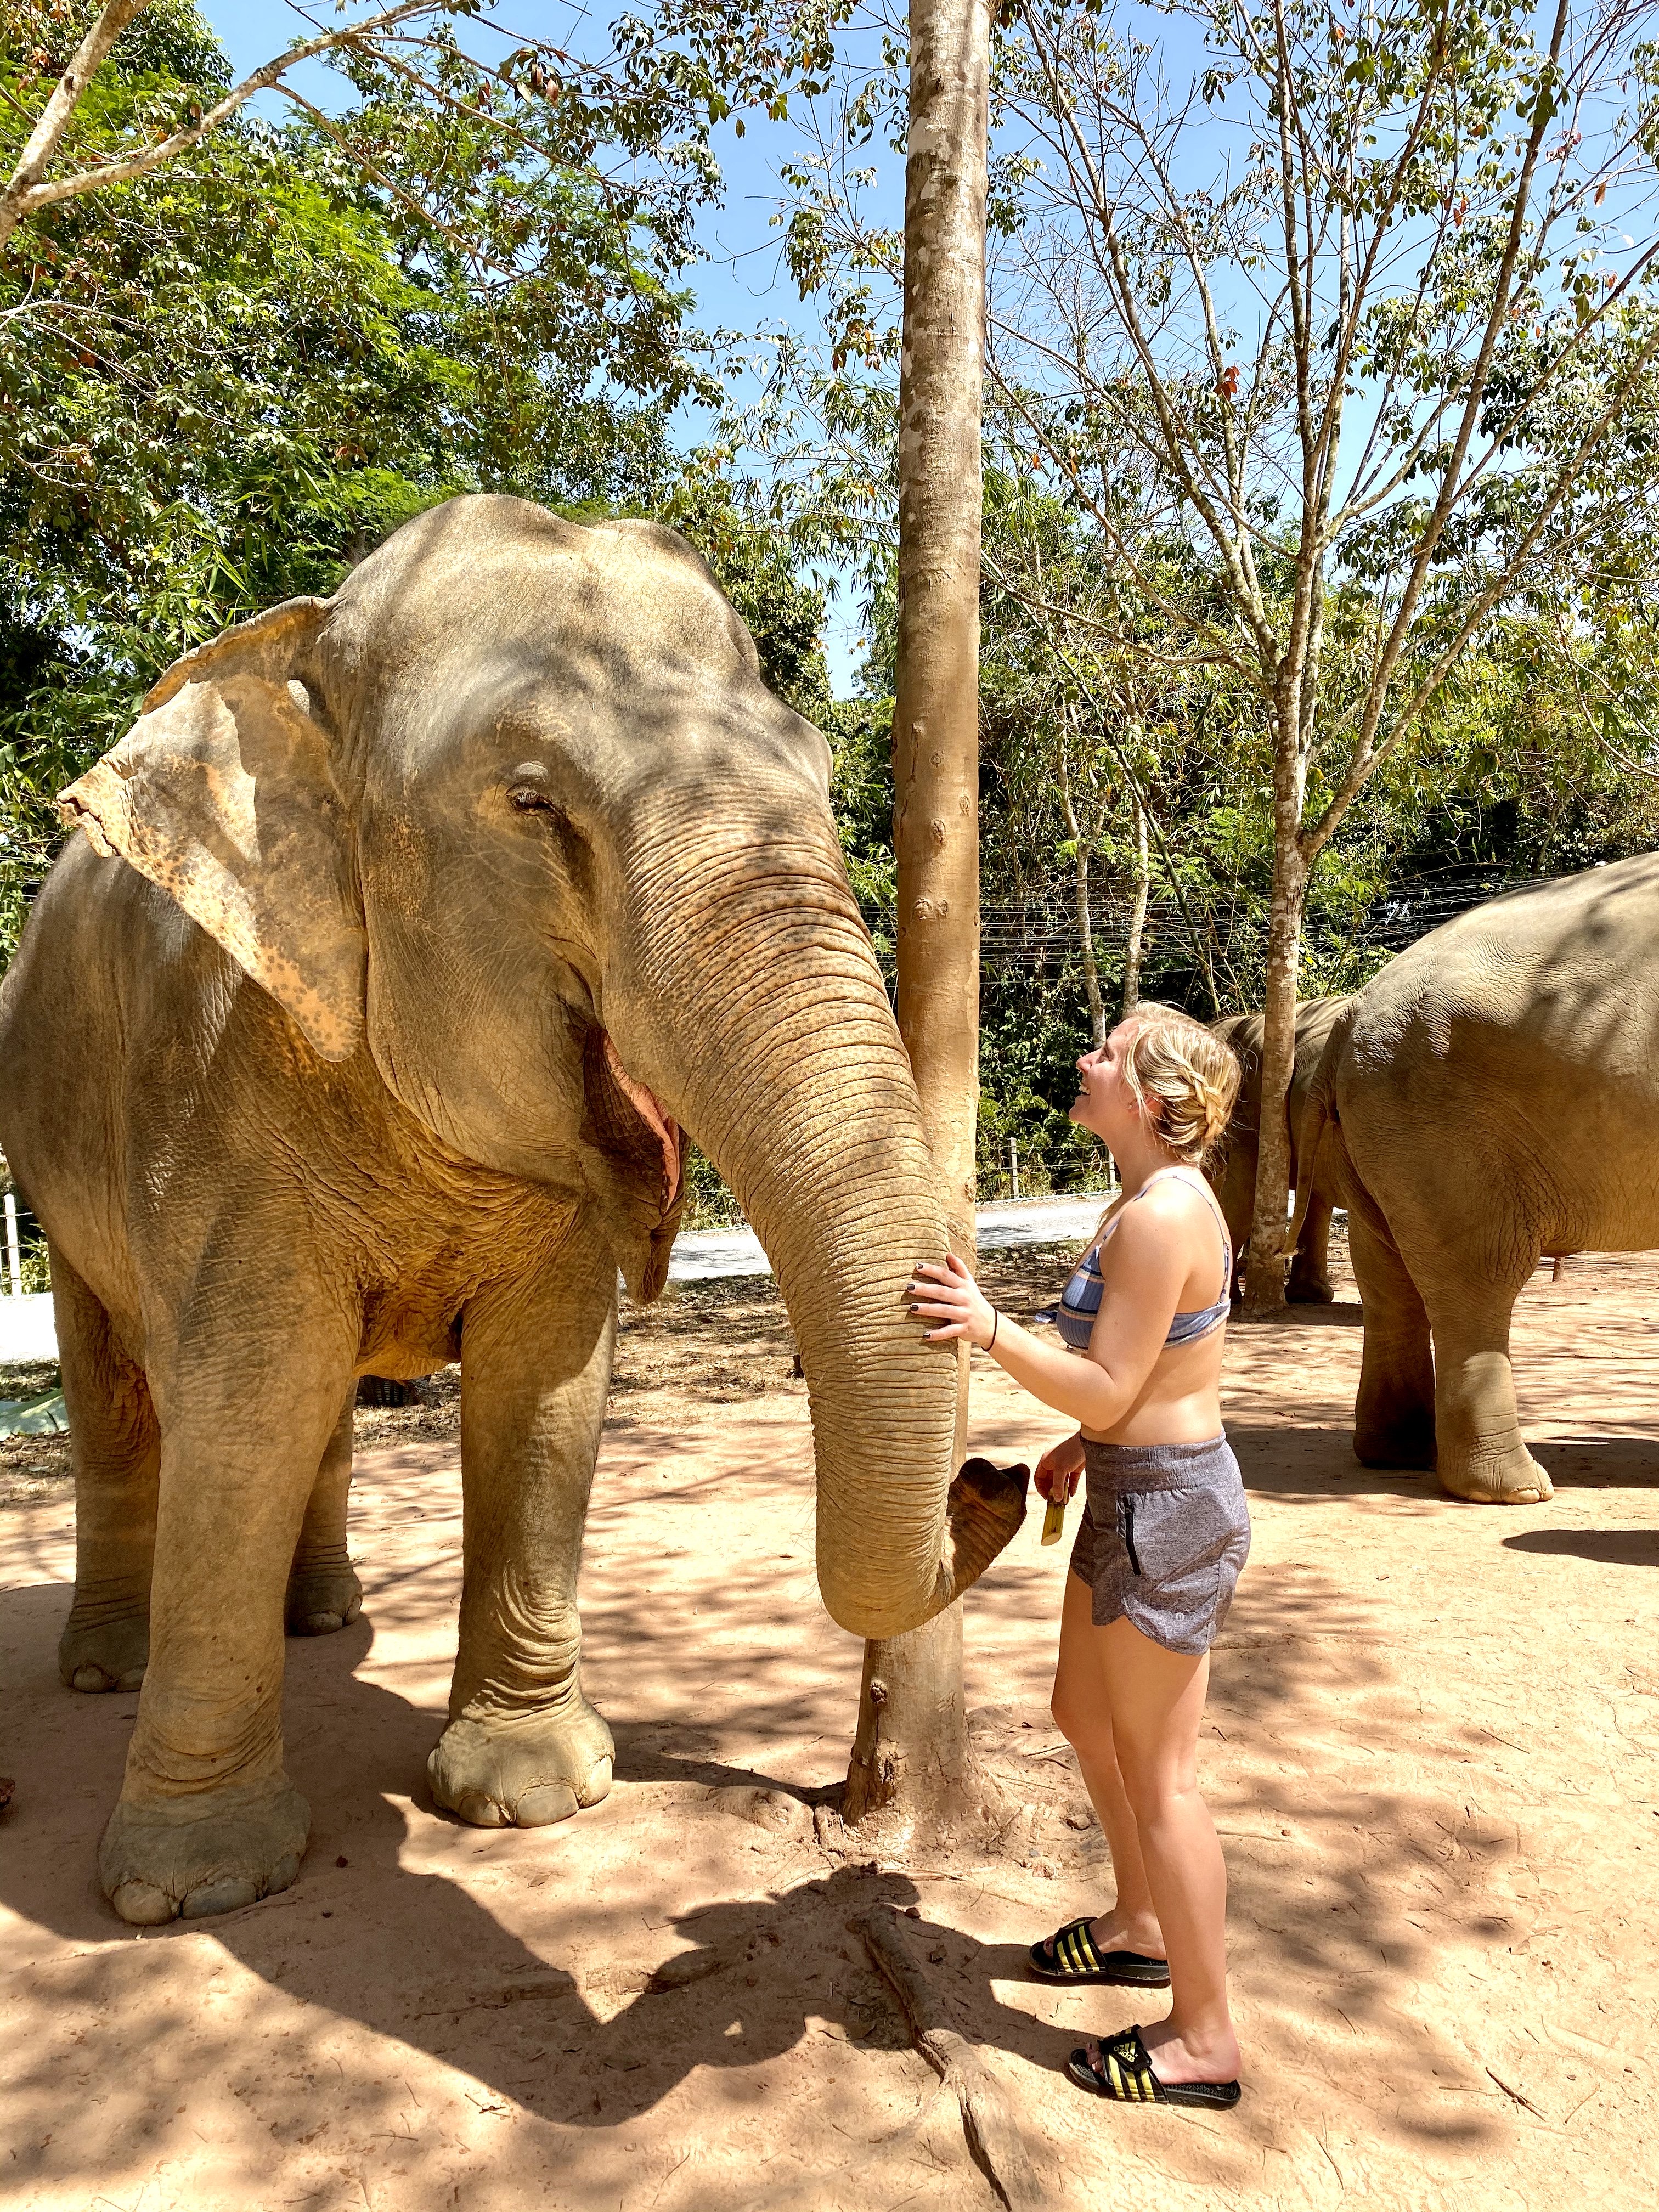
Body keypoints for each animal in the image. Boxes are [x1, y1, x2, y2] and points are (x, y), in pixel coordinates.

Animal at [0, 494, 1023, 1926]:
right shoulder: (204, 1077)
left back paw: (323, 1621)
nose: (1000, 1478)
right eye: (535, 806)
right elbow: (248, 1399)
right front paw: (193, 1890)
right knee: (118, 1391)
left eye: (825, 772)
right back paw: (108, 1665)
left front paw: (531, 1796)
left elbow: (543, 1392)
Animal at [1288, 853, 1659, 1502]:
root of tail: (1352, 1012)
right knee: (1478, 1278)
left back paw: (1399, 1456)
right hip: (1445, 1126)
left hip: (1382, 1126)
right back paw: (1515, 1489)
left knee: (1388, 1277)